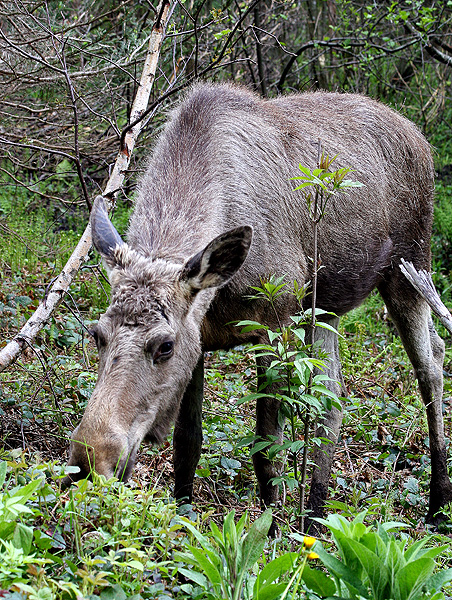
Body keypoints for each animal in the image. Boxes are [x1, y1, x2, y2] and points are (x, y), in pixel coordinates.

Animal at [65, 82, 452, 528]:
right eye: (97, 334)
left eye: (164, 345)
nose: (88, 458)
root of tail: (419, 138)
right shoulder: (201, 337)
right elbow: (187, 445)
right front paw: (184, 518)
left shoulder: (273, 322)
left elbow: (268, 452)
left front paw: (272, 532)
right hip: (326, 310)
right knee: (334, 395)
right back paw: (315, 513)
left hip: (409, 267)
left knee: (431, 364)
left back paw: (437, 502)